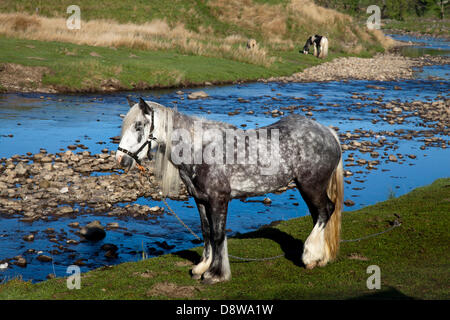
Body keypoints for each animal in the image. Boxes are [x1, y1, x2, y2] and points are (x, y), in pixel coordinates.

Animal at [117, 99, 344, 284]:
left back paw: (310, 256)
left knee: (325, 211)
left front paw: (216, 274)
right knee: (318, 214)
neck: (200, 148)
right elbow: (207, 232)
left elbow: (218, 235)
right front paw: (202, 267)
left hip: (311, 186)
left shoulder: (219, 200)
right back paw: (320, 257)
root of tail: (328, 132)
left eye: (138, 126)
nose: (121, 159)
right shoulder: (200, 200)